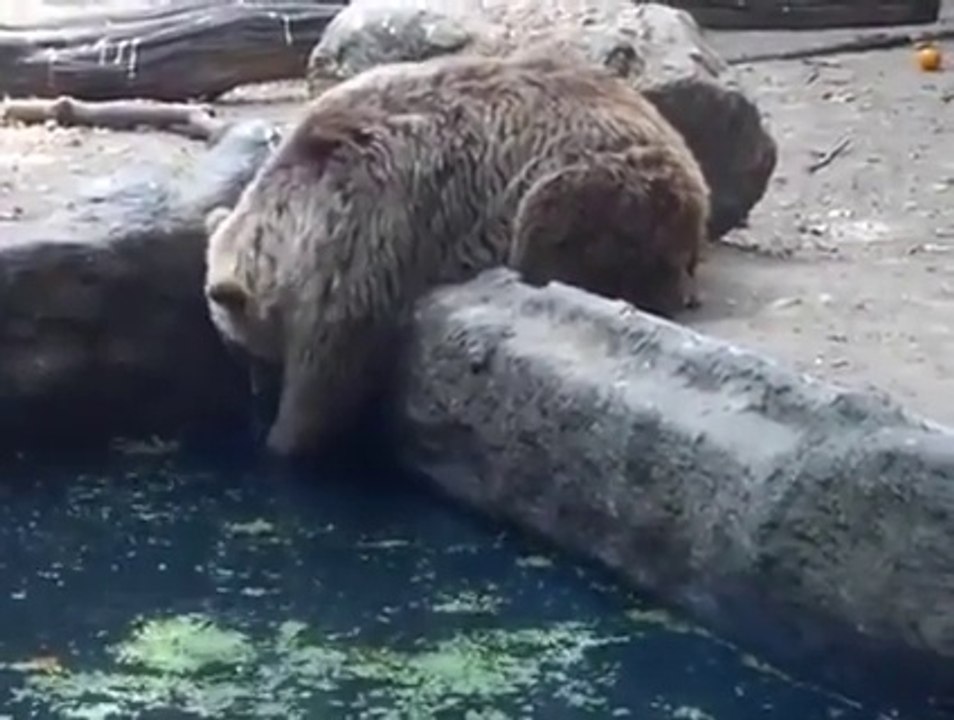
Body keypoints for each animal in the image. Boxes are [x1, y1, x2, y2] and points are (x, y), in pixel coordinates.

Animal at [204, 51, 710, 458]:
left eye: (240, 346)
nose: (255, 390)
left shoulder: (370, 222)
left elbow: (334, 352)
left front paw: (286, 437)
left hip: (594, 181)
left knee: (554, 227)